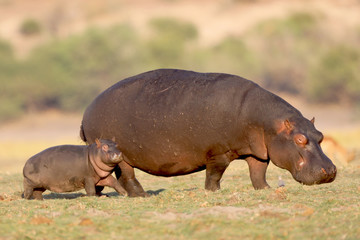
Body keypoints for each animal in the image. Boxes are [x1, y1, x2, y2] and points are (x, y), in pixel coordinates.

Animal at [80, 68, 336, 196]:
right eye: (300, 139)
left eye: (321, 135)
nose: (331, 170)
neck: (268, 123)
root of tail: (87, 111)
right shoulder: (218, 153)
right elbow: (214, 174)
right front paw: (214, 192)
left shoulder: (258, 151)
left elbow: (258, 172)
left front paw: (266, 189)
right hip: (120, 156)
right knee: (129, 176)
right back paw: (143, 195)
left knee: (122, 177)